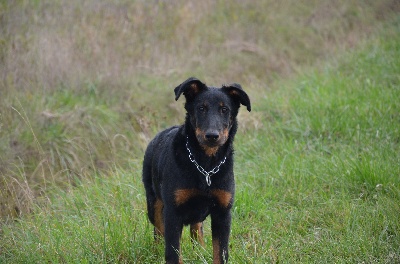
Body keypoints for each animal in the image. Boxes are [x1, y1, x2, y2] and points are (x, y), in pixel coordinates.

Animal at [143, 77, 250, 262]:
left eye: (224, 109)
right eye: (201, 108)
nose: (212, 136)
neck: (206, 166)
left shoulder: (223, 213)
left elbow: (220, 253)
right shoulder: (173, 213)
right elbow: (173, 253)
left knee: (196, 226)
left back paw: (200, 250)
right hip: (154, 202)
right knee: (158, 232)